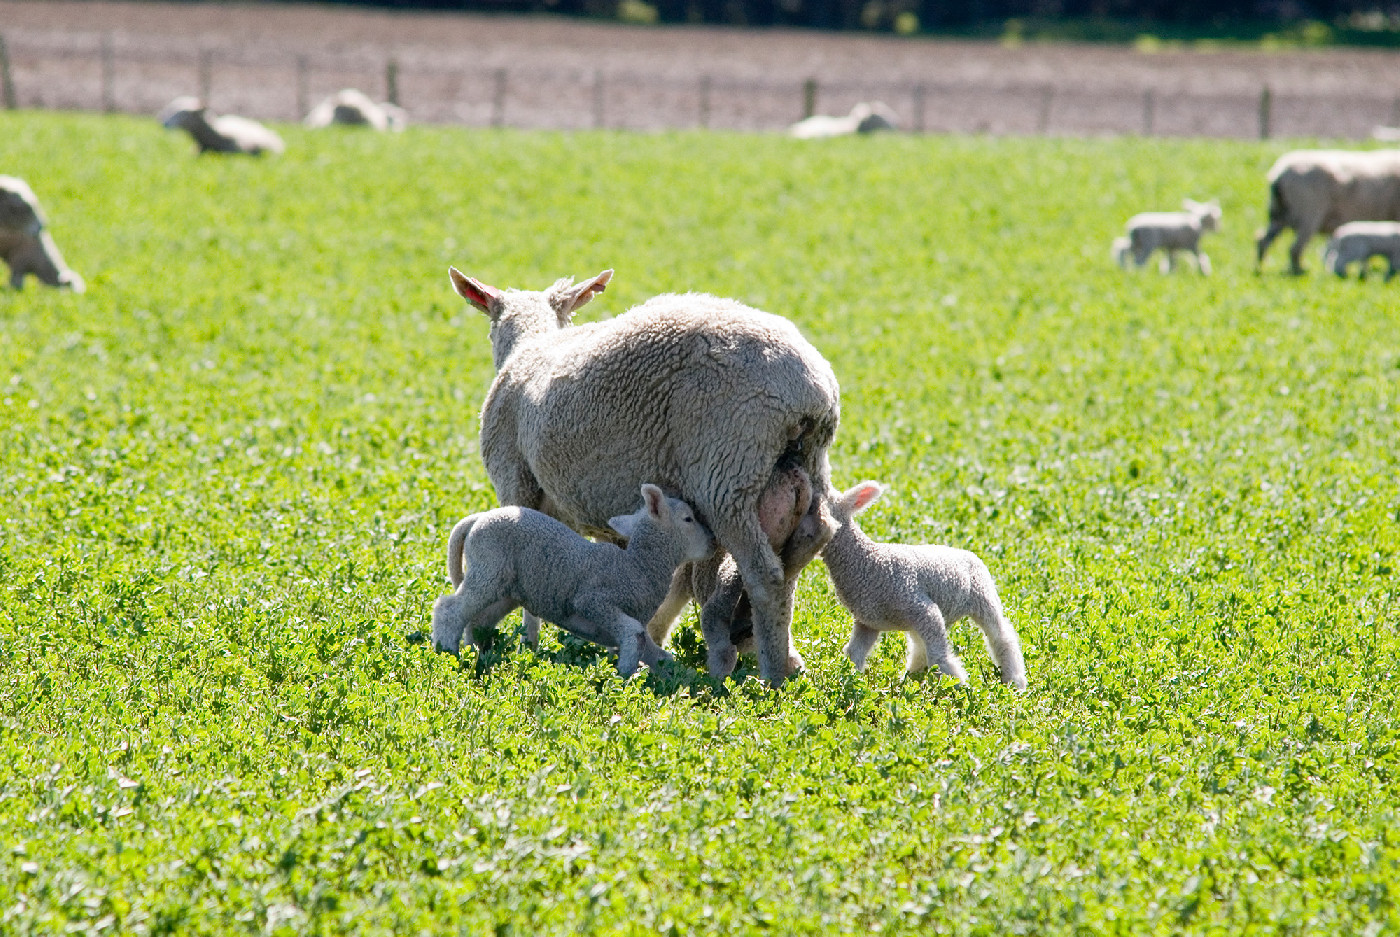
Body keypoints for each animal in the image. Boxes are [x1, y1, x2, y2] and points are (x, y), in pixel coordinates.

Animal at [430, 484, 715, 676]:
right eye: (688, 519)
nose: (712, 542)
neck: (638, 566)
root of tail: (477, 518)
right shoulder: (594, 601)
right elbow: (632, 632)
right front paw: (623, 675)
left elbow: (659, 654)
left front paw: (686, 681)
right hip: (489, 569)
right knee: (450, 609)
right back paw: (448, 653)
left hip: (505, 587)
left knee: (477, 620)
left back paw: (481, 655)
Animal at [1256, 148, 1400, 274]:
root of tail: (1279, 175)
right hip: (1309, 214)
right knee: (1295, 248)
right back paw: (1298, 271)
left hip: (1278, 214)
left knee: (1263, 240)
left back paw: (1261, 267)